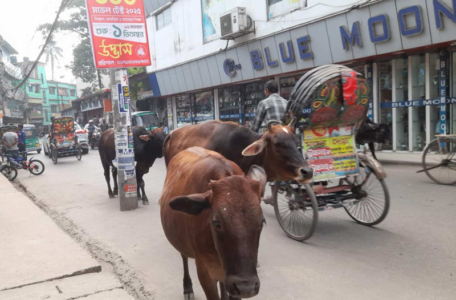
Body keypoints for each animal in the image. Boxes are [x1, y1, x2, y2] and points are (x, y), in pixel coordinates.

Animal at [161, 148, 266, 300]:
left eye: (262, 222)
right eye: (217, 223)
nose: (246, 287)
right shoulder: (205, 273)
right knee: (184, 256)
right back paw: (187, 288)